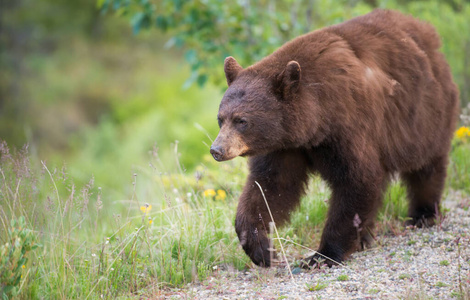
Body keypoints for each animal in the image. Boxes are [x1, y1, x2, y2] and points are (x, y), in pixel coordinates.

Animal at [209, 9, 458, 268]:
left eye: (242, 120)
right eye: (221, 118)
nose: (217, 149)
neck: (315, 120)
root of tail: (427, 30)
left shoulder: (348, 125)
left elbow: (357, 179)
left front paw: (322, 254)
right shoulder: (285, 146)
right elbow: (271, 187)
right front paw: (263, 250)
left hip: (424, 113)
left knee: (427, 165)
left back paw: (423, 214)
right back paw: (366, 236)